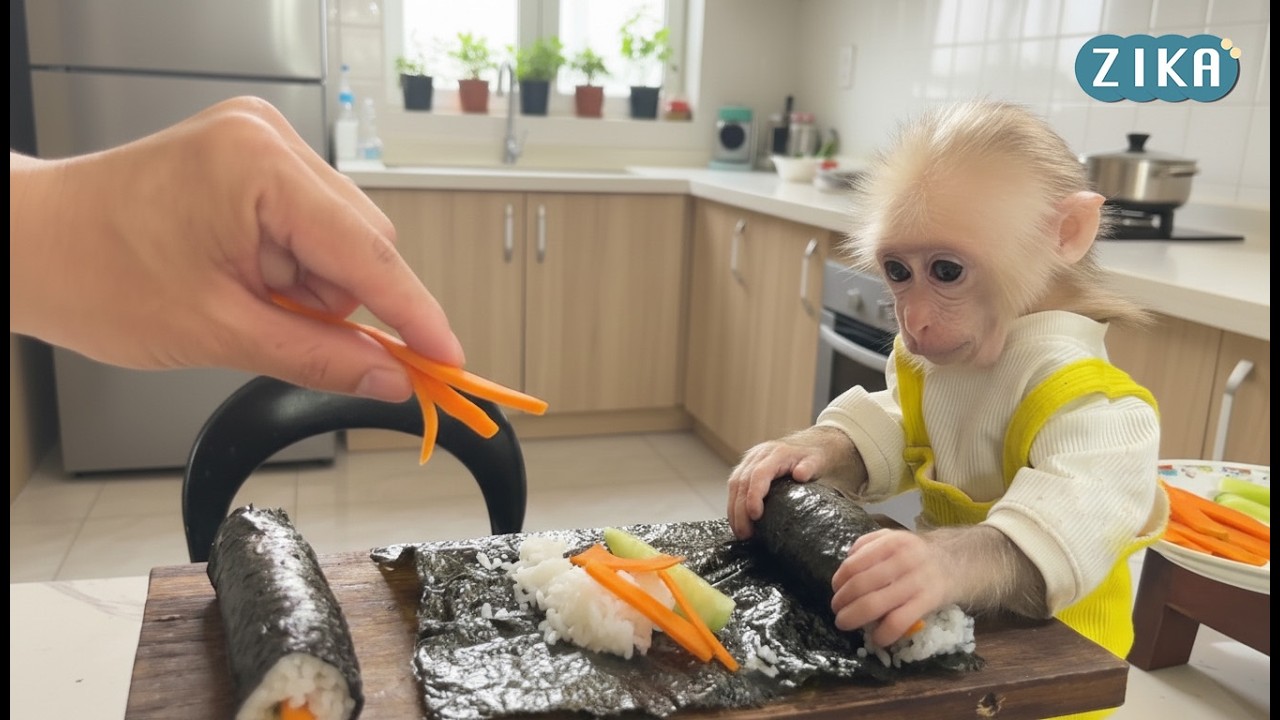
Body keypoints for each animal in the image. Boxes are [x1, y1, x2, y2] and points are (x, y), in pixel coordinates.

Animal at [726, 101, 1168, 681]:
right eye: (896, 271)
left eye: (946, 271)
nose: (911, 322)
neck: (1007, 346)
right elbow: (884, 430)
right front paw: (789, 453)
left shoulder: (1095, 407)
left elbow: (1052, 521)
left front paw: (919, 571)